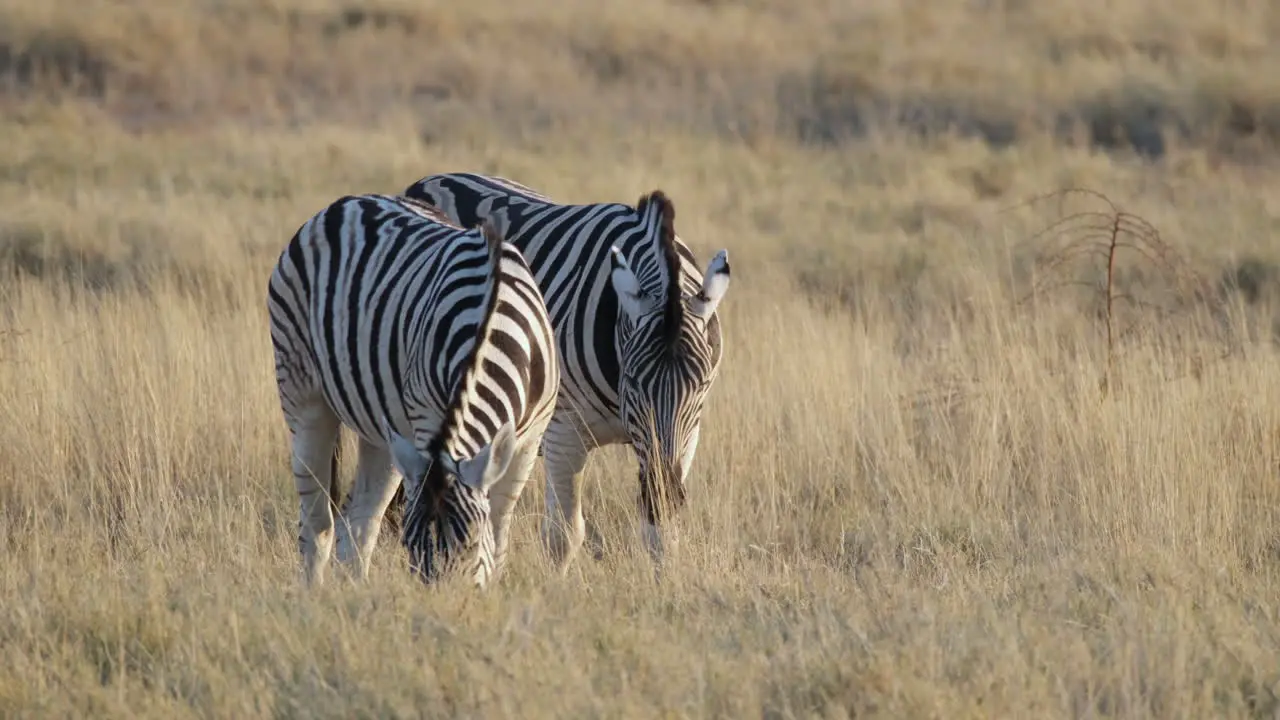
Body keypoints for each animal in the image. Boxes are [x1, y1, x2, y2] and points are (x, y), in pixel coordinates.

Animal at [264, 193, 555, 586]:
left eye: (471, 543)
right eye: (408, 545)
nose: (444, 599)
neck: (489, 328)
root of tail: (343, 204)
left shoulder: (530, 438)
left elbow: (499, 526)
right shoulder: (427, 417)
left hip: (382, 430)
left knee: (361, 519)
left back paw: (356, 590)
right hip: (301, 388)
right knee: (316, 521)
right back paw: (313, 594)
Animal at [399, 172, 732, 571]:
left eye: (701, 385)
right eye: (634, 381)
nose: (662, 490)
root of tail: (429, 181)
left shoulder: (688, 435)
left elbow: (661, 536)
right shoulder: (564, 432)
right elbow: (563, 536)